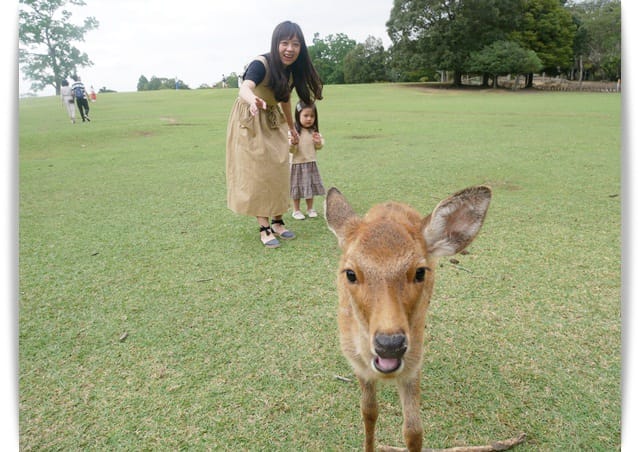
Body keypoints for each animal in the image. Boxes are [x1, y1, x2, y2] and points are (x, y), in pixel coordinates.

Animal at [325, 185, 525, 452]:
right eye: (350, 273)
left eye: (420, 272)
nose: (390, 344)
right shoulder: (358, 364)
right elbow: (368, 412)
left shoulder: (413, 363)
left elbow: (414, 431)